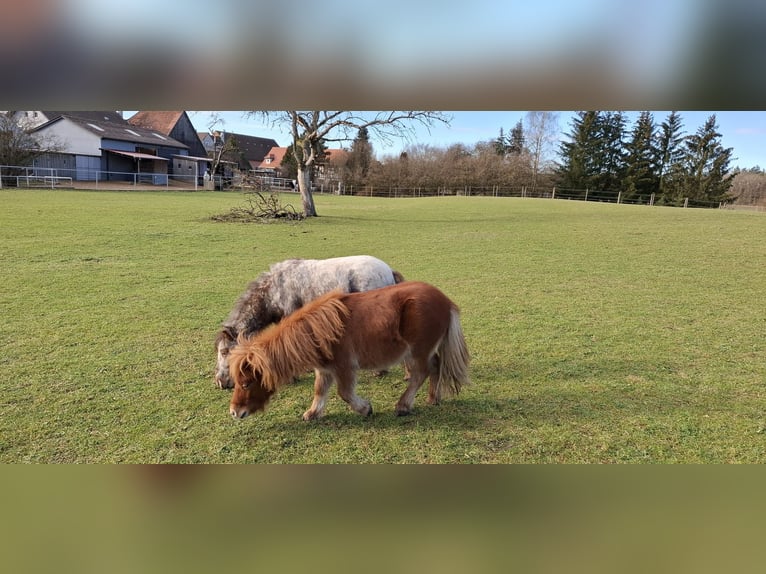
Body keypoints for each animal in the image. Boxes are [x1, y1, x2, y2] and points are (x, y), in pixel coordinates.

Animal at [226, 284, 468, 424]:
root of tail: (445, 301)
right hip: (423, 351)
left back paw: (403, 406)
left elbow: (344, 393)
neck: (319, 331)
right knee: (435, 367)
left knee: (421, 373)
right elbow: (319, 391)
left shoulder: (344, 367)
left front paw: (365, 409)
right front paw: (313, 413)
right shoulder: (324, 369)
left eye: (246, 383)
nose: (234, 412)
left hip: (418, 351)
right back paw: (433, 399)